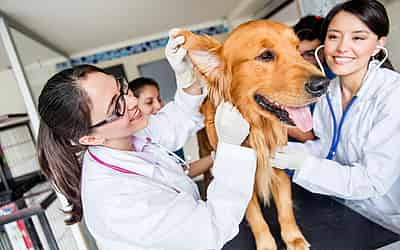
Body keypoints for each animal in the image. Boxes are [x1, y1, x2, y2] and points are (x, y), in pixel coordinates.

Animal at [178, 20, 328, 250]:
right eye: (265, 55)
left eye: (297, 49)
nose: (323, 84)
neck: (258, 129)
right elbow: (256, 217)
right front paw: (266, 244)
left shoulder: (279, 165)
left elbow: (285, 209)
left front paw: (293, 239)